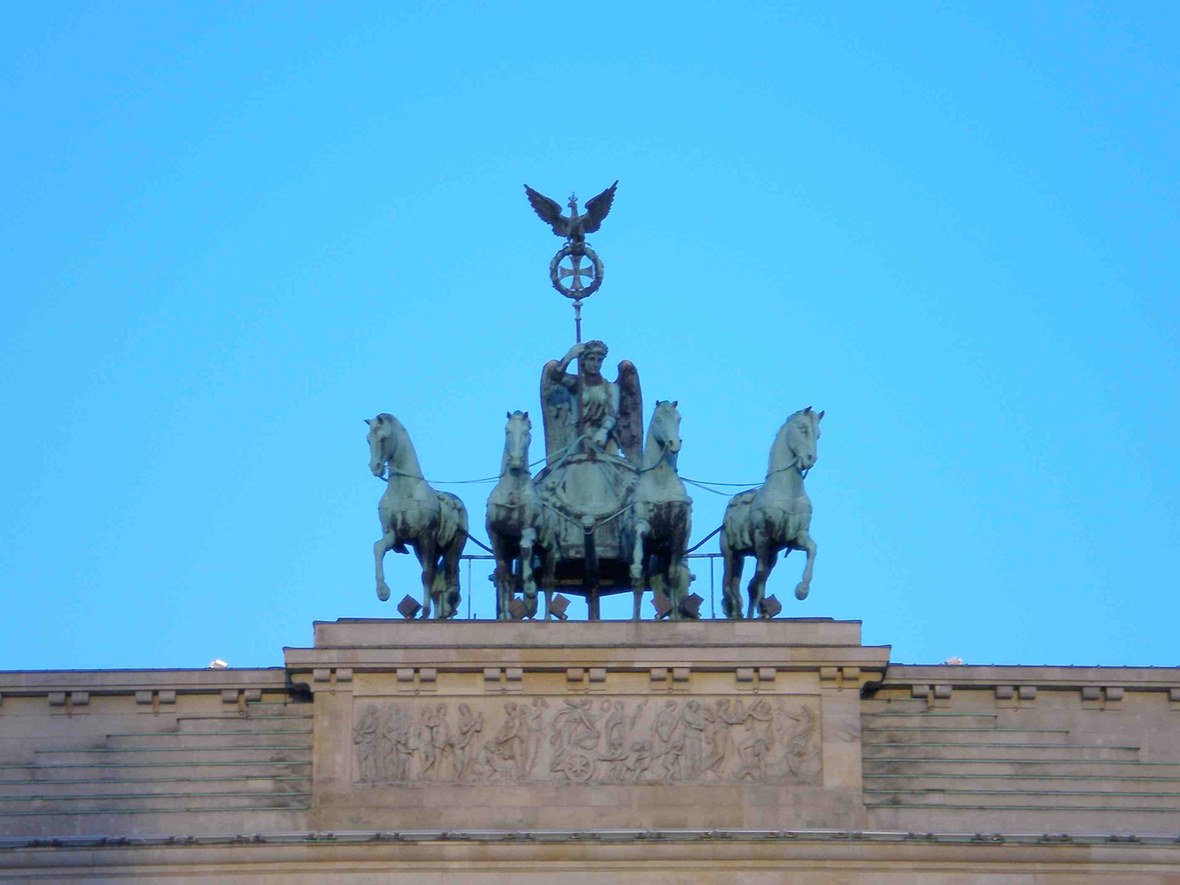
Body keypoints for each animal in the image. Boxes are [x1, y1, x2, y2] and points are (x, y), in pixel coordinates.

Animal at [365, 415, 467, 618]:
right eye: (368, 439)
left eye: (383, 438)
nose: (375, 467)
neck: (404, 491)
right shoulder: (392, 535)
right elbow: (378, 548)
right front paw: (383, 592)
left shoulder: (425, 536)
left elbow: (426, 575)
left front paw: (425, 612)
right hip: (423, 550)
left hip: (451, 549)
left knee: (448, 578)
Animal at [483, 412, 556, 618]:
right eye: (507, 430)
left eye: (527, 431)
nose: (515, 459)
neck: (512, 492)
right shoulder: (496, 537)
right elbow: (503, 573)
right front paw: (506, 615)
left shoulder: (528, 529)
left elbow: (524, 548)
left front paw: (530, 597)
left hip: (549, 551)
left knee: (548, 583)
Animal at [627, 403, 689, 623]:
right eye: (658, 419)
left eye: (679, 418)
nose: (674, 443)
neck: (660, 480)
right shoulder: (645, 526)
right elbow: (639, 533)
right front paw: (636, 568)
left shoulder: (678, 530)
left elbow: (673, 575)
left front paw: (676, 616)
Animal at [717, 408, 821, 618]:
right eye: (803, 428)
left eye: (818, 435)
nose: (810, 459)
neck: (788, 493)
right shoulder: (762, 536)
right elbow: (759, 576)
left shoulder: (795, 537)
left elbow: (812, 549)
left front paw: (802, 590)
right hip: (731, 553)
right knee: (730, 583)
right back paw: (736, 613)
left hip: (768, 553)